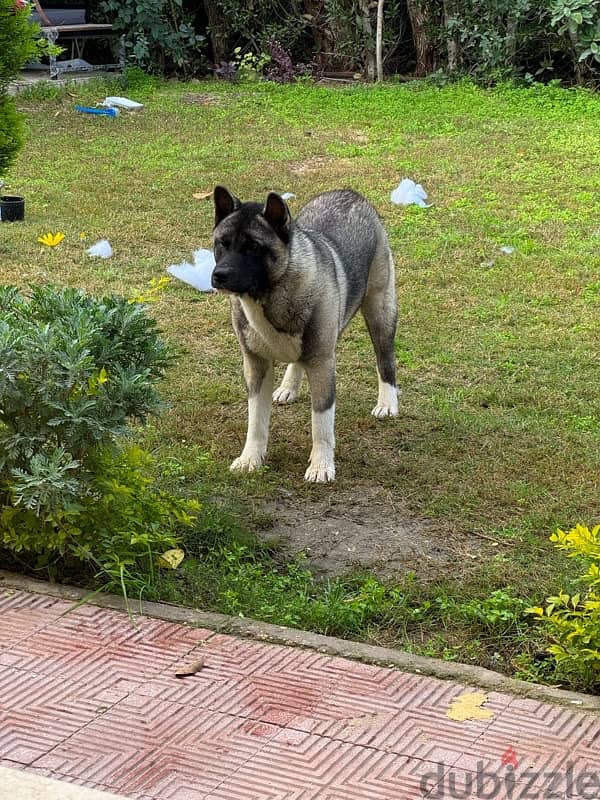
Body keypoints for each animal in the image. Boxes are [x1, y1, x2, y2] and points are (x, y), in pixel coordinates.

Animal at [211, 186, 398, 482]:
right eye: (222, 243)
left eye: (253, 247)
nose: (220, 275)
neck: (271, 292)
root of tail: (350, 193)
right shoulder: (256, 365)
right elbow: (256, 419)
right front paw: (250, 458)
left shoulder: (322, 364)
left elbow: (321, 421)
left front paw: (321, 466)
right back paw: (289, 387)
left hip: (380, 310)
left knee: (385, 358)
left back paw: (388, 403)